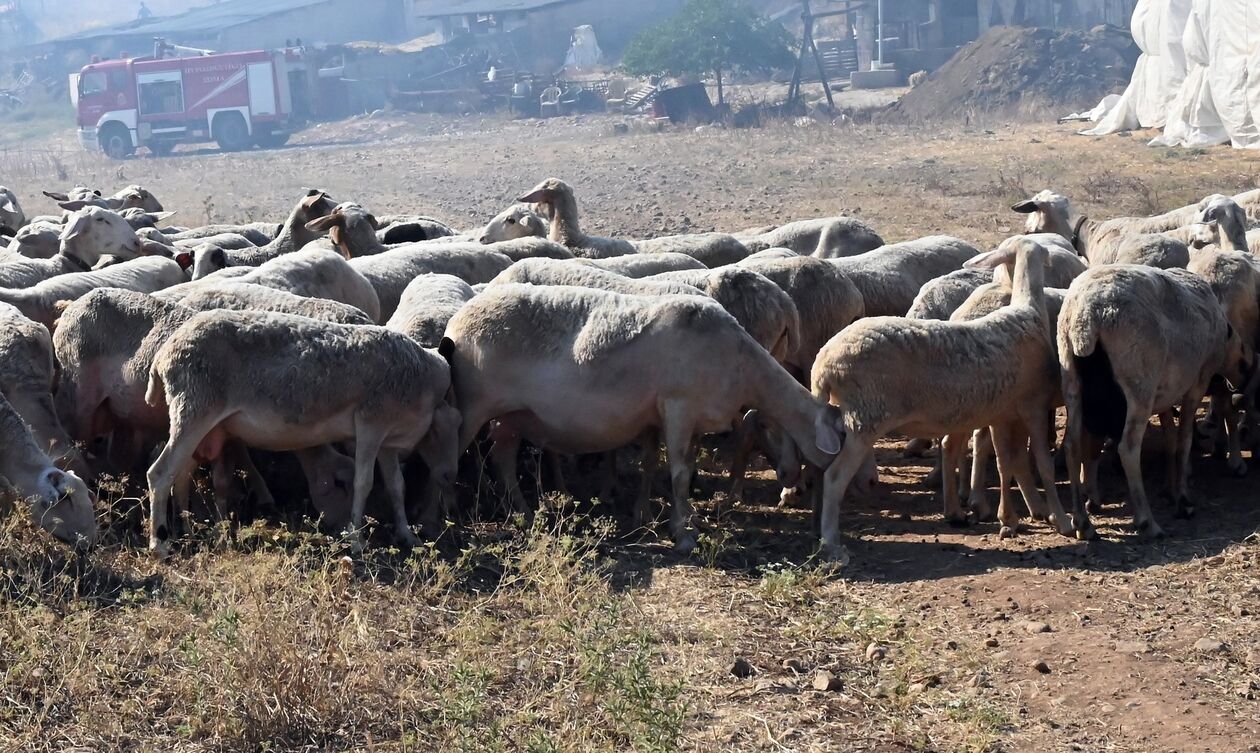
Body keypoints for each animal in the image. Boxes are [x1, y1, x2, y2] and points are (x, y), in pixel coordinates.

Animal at [443, 285, 846, 551]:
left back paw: (524, 513)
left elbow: (665, 464)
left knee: (504, 459)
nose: (794, 480)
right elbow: (679, 473)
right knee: (452, 459)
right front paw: (683, 534)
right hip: (474, 404)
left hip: (512, 415)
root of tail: (457, 321)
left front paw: (661, 516)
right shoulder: (679, 405)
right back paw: (449, 521)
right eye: (768, 427)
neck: (740, 365)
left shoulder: (671, 416)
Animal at [806, 237, 1073, 561]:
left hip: (840, 417)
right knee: (834, 477)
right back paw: (832, 543)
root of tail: (823, 366)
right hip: (863, 419)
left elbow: (1007, 462)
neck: (1027, 311)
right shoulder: (1034, 406)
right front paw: (1062, 521)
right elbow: (1042, 465)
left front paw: (1009, 518)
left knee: (821, 468)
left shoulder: (1002, 414)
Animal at [1053, 263, 1249, 538]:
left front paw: (1171, 489)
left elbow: (1169, 439)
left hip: (1072, 381)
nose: (1243, 382)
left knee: (1072, 445)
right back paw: (1147, 522)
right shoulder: (1196, 385)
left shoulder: (1165, 393)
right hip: (1139, 388)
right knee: (1128, 448)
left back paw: (1083, 523)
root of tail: (1086, 319)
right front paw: (1183, 499)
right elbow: (1184, 441)